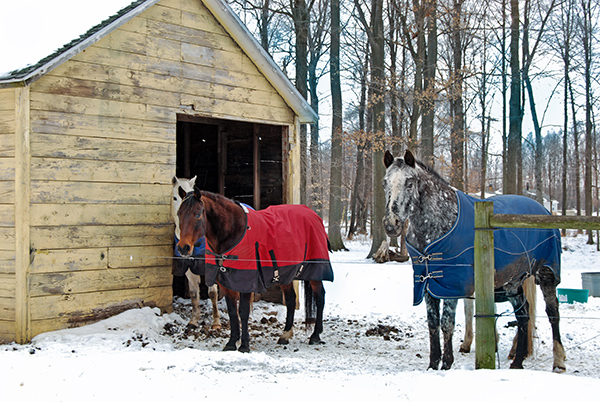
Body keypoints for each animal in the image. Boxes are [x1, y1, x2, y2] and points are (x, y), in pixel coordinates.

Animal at [176, 188, 332, 352]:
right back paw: (285, 335)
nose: (183, 248)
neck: (234, 232)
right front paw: (231, 343)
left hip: (315, 272)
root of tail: (313, 215)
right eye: (179, 214)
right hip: (285, 274)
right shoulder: (226, 284)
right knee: (290, 300)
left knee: (320, 297)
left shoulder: (246, 282)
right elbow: (232, 312)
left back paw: (315, 335)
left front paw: (244, 345)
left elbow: (243, 312)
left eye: (198, 214)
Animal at [382, 149, 564, 372]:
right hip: (513, 281)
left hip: (546, 273)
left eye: (409, 183)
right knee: (523, 315)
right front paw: (433, 365)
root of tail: (544, 210)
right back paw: (517, 362)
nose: (391, 225)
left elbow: (446, 324)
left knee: (552, 312)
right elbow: (432, 324)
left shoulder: (451, 284)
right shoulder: (428, 284)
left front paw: (447, 364)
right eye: (385, 183)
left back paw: (558, 361)